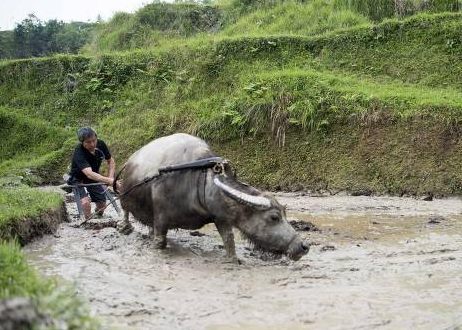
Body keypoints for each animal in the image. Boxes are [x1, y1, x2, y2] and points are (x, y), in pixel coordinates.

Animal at [117, 133, 308, 262]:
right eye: (274, 217)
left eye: (285, 214)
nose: (303, 246)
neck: (198, 182)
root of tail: (129, 160)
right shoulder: (162, 219)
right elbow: (159, 242)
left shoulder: (221, 217)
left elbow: (229, 239)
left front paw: (233, 260)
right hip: (123, 195)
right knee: (124, 210)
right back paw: (124, 227)